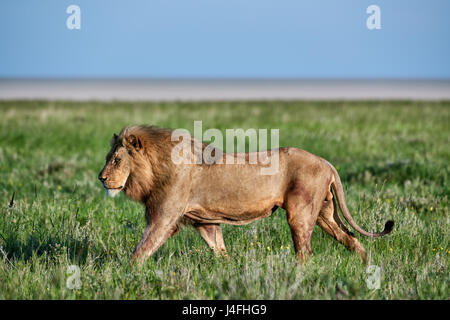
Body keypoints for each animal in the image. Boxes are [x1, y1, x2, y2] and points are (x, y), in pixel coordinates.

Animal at [98, 126, 394, 264]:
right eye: (108, 157)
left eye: (116, 160)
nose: (101, 178)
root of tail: (326, 162)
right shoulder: (205, 221)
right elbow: (219, 249)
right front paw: (227, 269)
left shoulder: (163, 217)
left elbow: (142, 249)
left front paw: (126, 272)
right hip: (324, 213)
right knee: (351, 239)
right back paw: (367, 265)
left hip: (300, 213)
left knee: (305, 253)